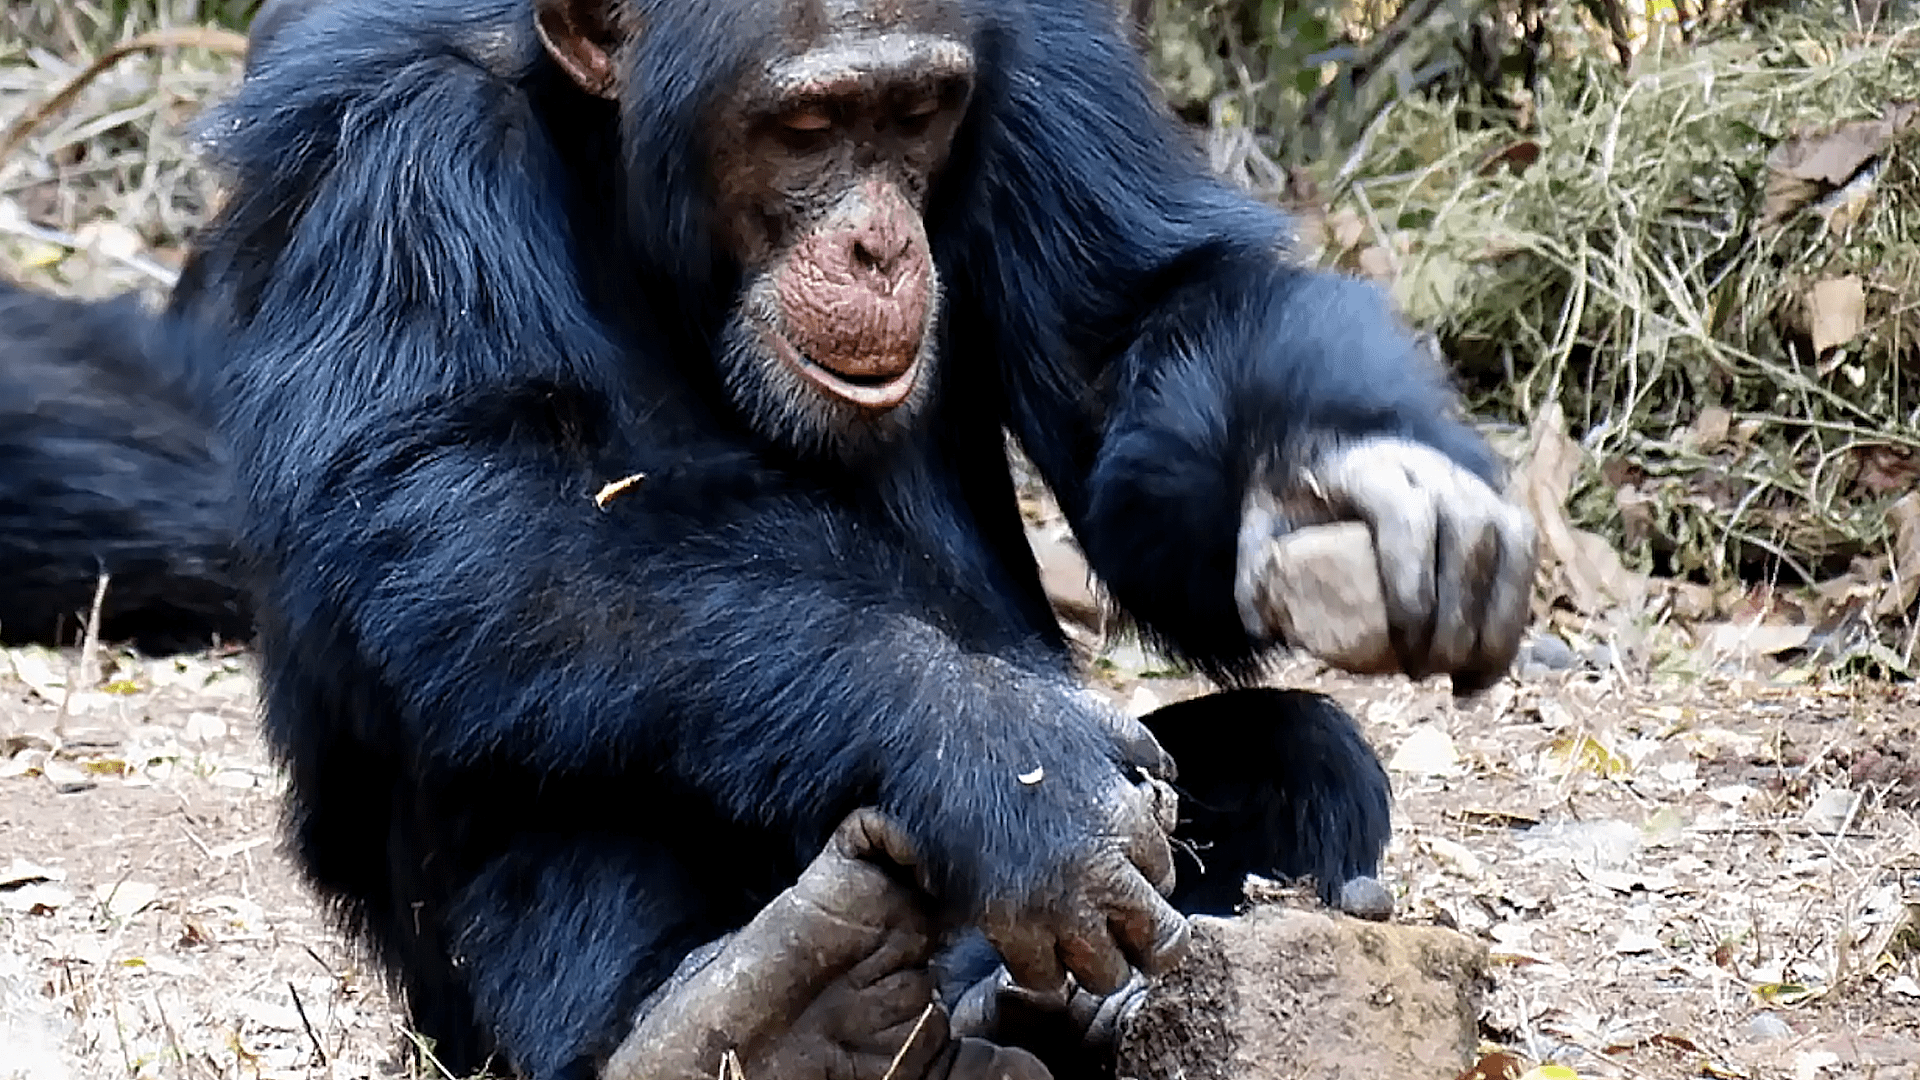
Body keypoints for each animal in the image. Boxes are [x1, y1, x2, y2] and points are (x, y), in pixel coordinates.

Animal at [172, 0, 1536, 1068]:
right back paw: (760, 1012)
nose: (879, 241)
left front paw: (1367, 486)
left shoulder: (1046, 57)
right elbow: (451, 486)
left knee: (1307, 760)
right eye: (811, 127)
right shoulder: (391, 143)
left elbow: (1137, 323)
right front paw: (1000, 768)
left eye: (919, 110)